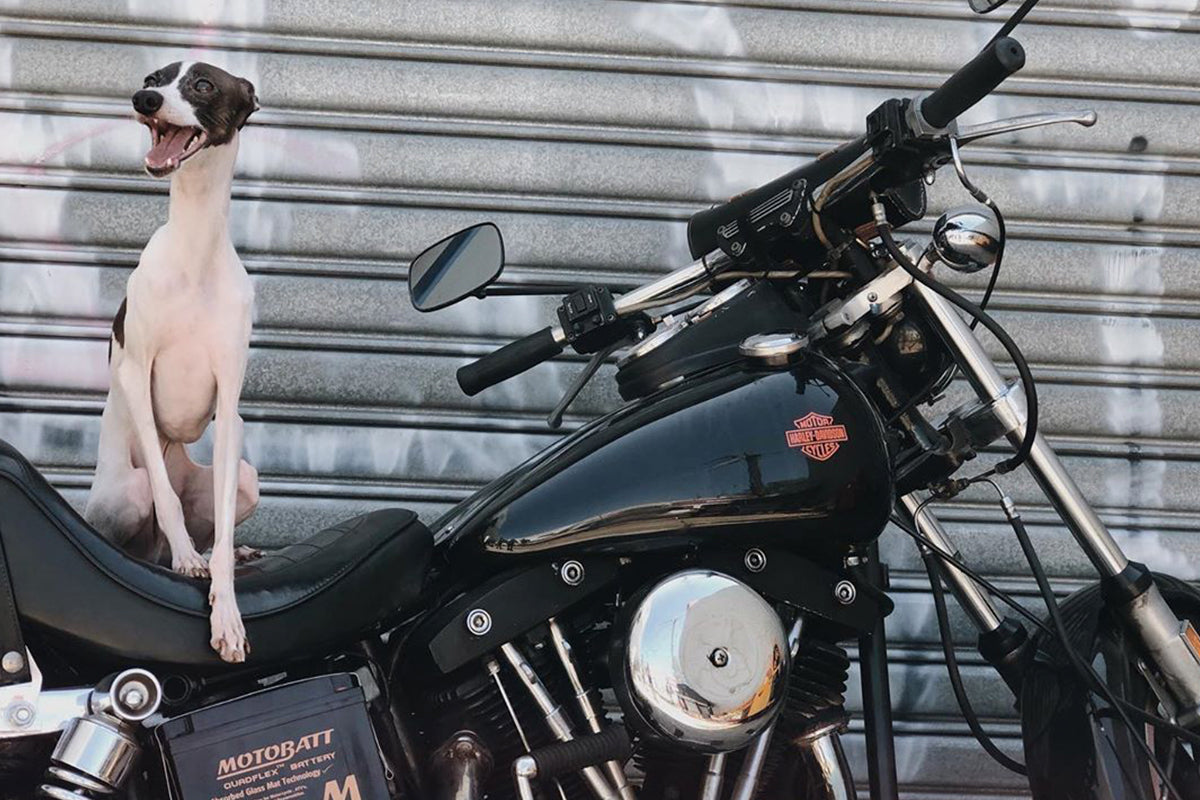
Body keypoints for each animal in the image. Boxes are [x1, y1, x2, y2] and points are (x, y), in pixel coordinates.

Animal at [85, 62, 262, 662]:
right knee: (147, 522)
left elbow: (222, 540)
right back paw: (175, 553)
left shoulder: (229, 404)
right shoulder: (137, 374)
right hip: (126, 495)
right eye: (153, 78)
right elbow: (166, 497)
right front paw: (188, 558)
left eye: (203, 84)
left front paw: (227, 614)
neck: (194, 252)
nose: (145, 100)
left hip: (246, 480)